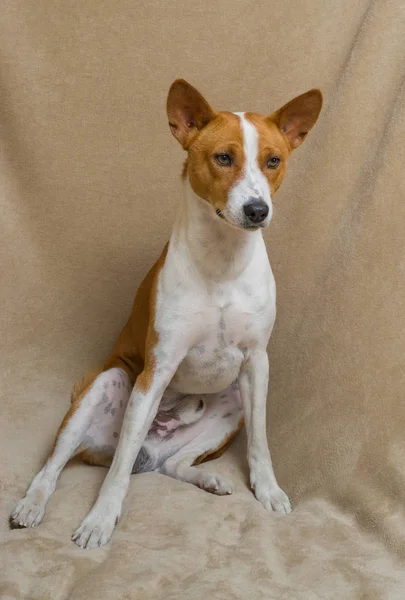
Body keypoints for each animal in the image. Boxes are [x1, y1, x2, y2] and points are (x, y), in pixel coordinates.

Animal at [9, 79, 322, 548]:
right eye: (223, 158)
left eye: (273, 161)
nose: (257, 210)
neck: (223, 261)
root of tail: (153, 449)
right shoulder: (157, 368)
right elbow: (118, 470)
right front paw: (101, 519)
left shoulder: (257, 363)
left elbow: (261, 441)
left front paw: (268, 490)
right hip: (106, 385)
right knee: (57, 464)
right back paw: (32, 504)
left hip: (231, 404)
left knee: (174, 465)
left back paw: (208, 478)